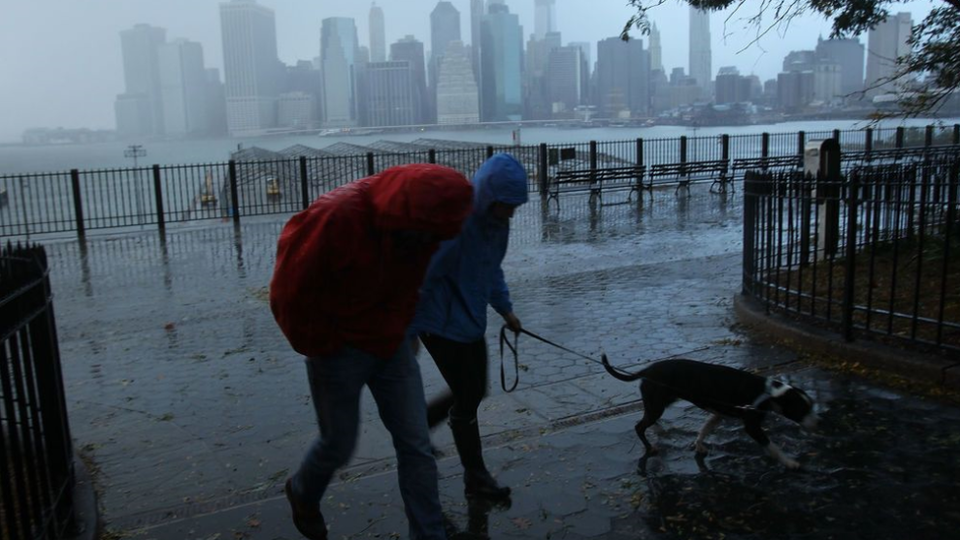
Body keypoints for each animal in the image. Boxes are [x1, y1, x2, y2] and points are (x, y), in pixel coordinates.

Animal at [600, 358, 816, 468]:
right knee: (640, 426)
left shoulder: (718, 414)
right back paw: (650, 447)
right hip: (656, 406)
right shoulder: (752, 426)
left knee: (648, 422)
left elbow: (704, 430)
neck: (768, 393)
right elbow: (772, 447)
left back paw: (660, 431)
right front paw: (789, 462)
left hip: (656, 405)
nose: (817, 421)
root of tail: (646, 370)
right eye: (802, 410)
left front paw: (699, 445)